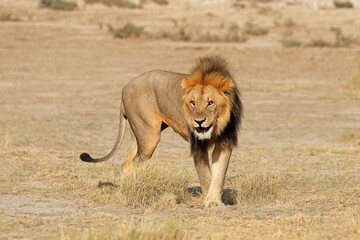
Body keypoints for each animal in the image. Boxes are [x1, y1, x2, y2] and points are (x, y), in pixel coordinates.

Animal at [80, 55, 243, 206]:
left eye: (210, 103)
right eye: (193, 102)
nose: (198, 121)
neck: (216, 127)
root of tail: (125, 87)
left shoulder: (224, 143)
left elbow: (219, 175)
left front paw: (214, 201)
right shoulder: (197, 145)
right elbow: (206, 176)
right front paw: (209, 202)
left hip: (138, 134)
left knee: (126, 164)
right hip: (149, 137)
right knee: (133, 164)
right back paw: (132, 191)